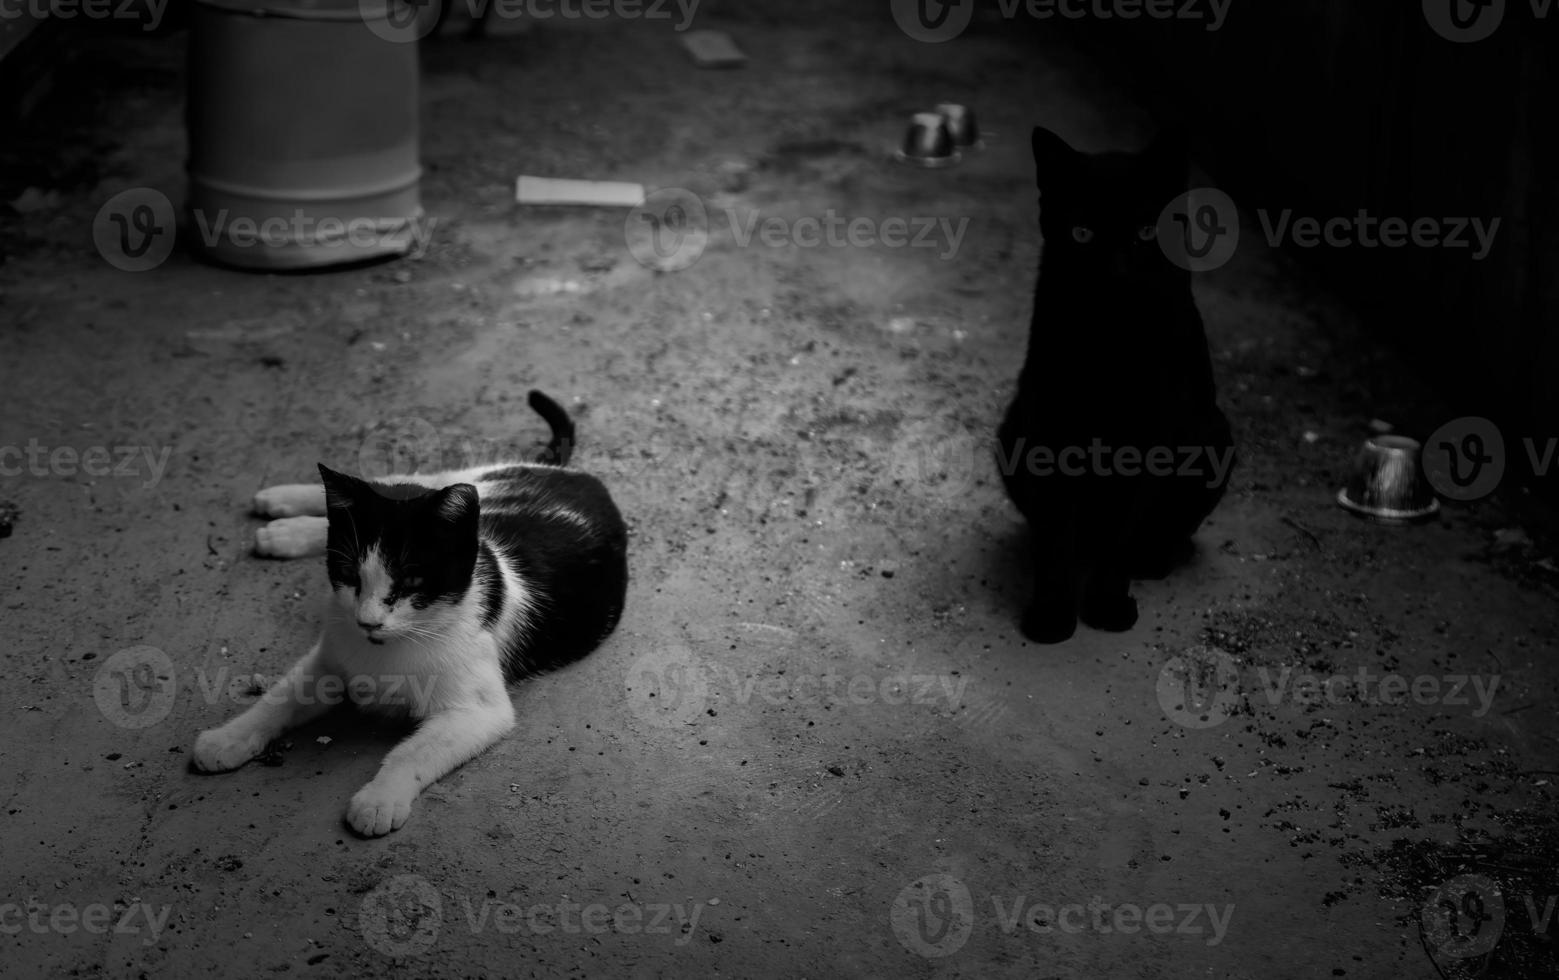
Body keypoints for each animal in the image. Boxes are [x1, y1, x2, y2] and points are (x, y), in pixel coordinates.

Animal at [194, 389, 626, 835]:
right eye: (348, 575)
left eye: (412, 583)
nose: (367, 621)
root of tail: (569, 473)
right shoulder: (328, 658)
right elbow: (278, 700)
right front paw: (228, 737)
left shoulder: (478, 712)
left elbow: (412, 753)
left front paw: (380, 799)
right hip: (453, 487)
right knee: (389, 487)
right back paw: (285, 509)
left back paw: (283, 525)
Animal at [997, 126, 1240, 645]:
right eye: (1082, 234)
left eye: (1146, 232)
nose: (1117, 273)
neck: (1112, 343)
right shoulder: (1048, 428)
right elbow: (1056, 535)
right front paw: (1052, 613)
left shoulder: (1150, 438)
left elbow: (1121, 533)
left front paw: (1106, 605)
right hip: (1012, 428)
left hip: (1214, 436)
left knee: (1166, 531)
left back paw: (1154, 559)